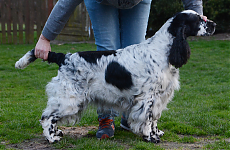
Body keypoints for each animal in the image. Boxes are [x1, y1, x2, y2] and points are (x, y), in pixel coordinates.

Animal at [15, 9, 216, 144]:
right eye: (199, 20)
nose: (214, 25)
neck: (163, 50)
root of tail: (64, 57)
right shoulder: (148, 97)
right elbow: (148, 119)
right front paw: (150, 137)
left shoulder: (160, 96)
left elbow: (154, 119)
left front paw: (156, 133)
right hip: (69, 100)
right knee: (47, 117)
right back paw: (52, 138)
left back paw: (57, 134)